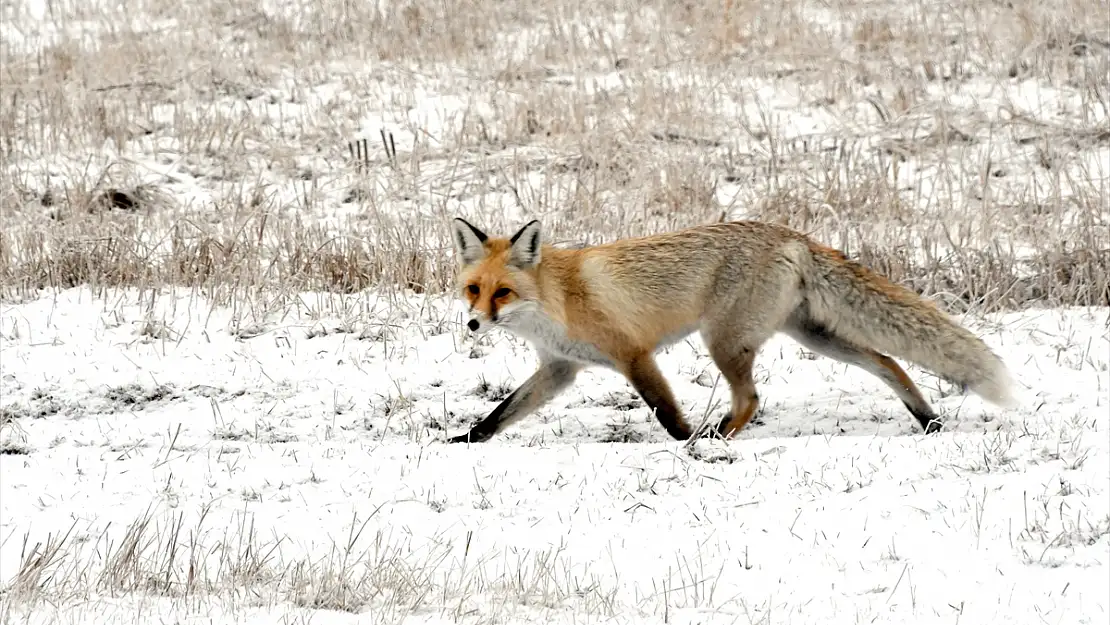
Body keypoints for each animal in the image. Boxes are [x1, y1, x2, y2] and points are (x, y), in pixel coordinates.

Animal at [446, 219, 1016, 444]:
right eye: (473, 289)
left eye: (503, 293)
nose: (473, 322)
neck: (557, 299)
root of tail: (791, 234)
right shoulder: (560, 368)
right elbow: (500, 413)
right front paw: (462, 441)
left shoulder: (634, 355)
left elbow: (665, 410)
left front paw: (682, 442)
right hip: (814, 336)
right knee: (889, 360)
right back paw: (928, 419)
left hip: (723, 342)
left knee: (750, 400)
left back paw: (714, 437)